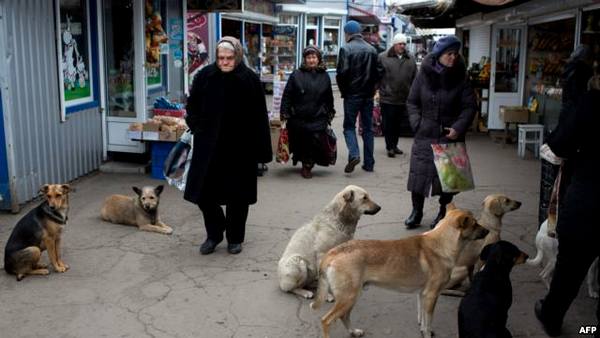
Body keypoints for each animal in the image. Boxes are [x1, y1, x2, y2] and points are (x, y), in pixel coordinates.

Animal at [310, 203, 488, 338]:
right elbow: (428, 322)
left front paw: (423, 330)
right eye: (475, 224)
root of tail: (333, 252)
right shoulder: (431, 296)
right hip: (348, 297)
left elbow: (422, 318)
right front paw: (428, 334)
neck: (442, 243)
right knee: (326, 320)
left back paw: (354, 332)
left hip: (352, 296)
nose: (487, 231)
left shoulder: (423, 295)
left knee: (344, 316)